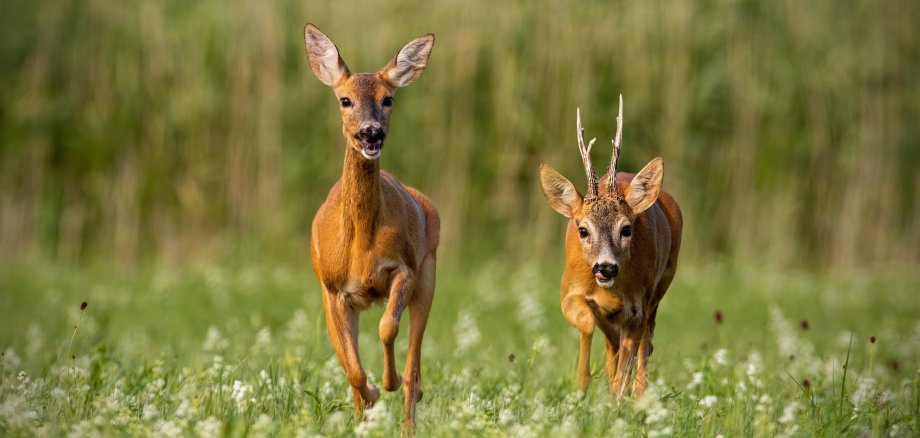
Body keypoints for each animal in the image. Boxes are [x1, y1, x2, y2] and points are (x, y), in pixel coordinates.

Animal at [303, 23, 439, 432]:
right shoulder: (333, 289)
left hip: (429, 273)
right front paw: (373, 395)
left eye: (388, 99)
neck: (361, 243)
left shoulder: (405, 268)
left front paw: (387, 383)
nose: (371, 133)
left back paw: (409, 416)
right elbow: (353, 370)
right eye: (345, 100)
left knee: (414, 365)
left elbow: (387, 328)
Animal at [539, 96, 682, 398]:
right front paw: (583, 385)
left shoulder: (637, 307)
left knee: (647, 338)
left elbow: (631, 353)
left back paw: (638, 393)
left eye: (626, 229)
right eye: (583, 230)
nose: (605, 267)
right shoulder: (568, 292)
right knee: (613, 342)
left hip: (661, 285)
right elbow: (587, 323)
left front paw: (616, 396)